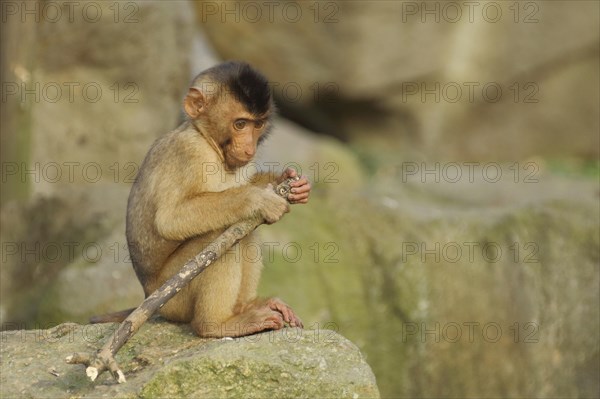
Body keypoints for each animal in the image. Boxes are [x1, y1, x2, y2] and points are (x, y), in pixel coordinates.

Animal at [121, 61, 312, 338]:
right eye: (240, 124)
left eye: (258, 125)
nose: (249, 147)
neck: (208, 141)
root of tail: (147, 294)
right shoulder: (190, 152)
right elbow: (170, 219)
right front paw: (258, 199)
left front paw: (288, 182)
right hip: (173, 297)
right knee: (218, 236)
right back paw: (216, 324)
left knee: (245, 231)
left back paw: (246, 307)